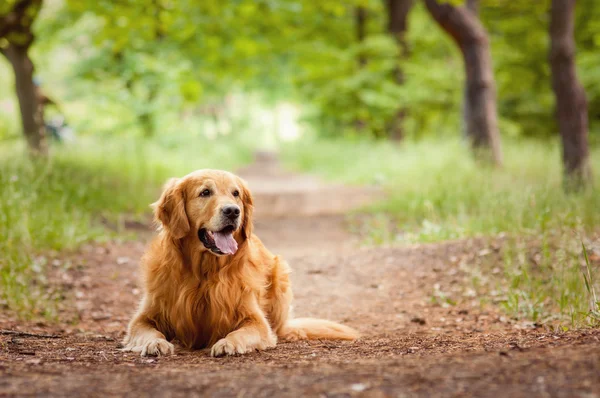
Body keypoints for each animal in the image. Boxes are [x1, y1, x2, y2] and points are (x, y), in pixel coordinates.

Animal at [121, 169, 356, 358]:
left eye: (236, 193)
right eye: (205, 192)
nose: (233, 211)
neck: (204, 273)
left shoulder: (256, 320)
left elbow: (242, 332)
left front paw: (228, 344)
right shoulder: (143, 317)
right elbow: (147, 331)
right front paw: (156, 343)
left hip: (280, 273)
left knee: (281, 327)